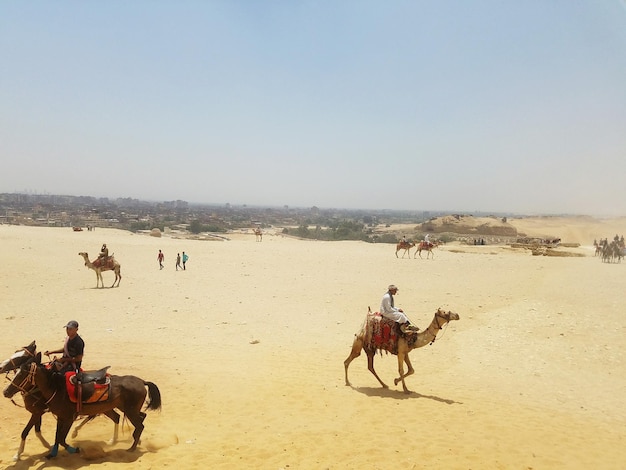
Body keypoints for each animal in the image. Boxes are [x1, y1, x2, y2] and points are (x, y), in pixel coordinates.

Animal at [3, 354, 160, 458]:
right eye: (16, 371)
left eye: (21, 374)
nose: (5, 392)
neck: (57, 387)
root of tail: (142, 381)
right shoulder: (57, 416)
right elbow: (56, 436)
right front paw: (52, 452)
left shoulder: (65, 417)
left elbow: (59, 438)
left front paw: (74, 449)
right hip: (120, 408)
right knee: (134, 418)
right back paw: (126, 441)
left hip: (130, 411)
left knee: (139, 425)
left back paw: (131, 448)